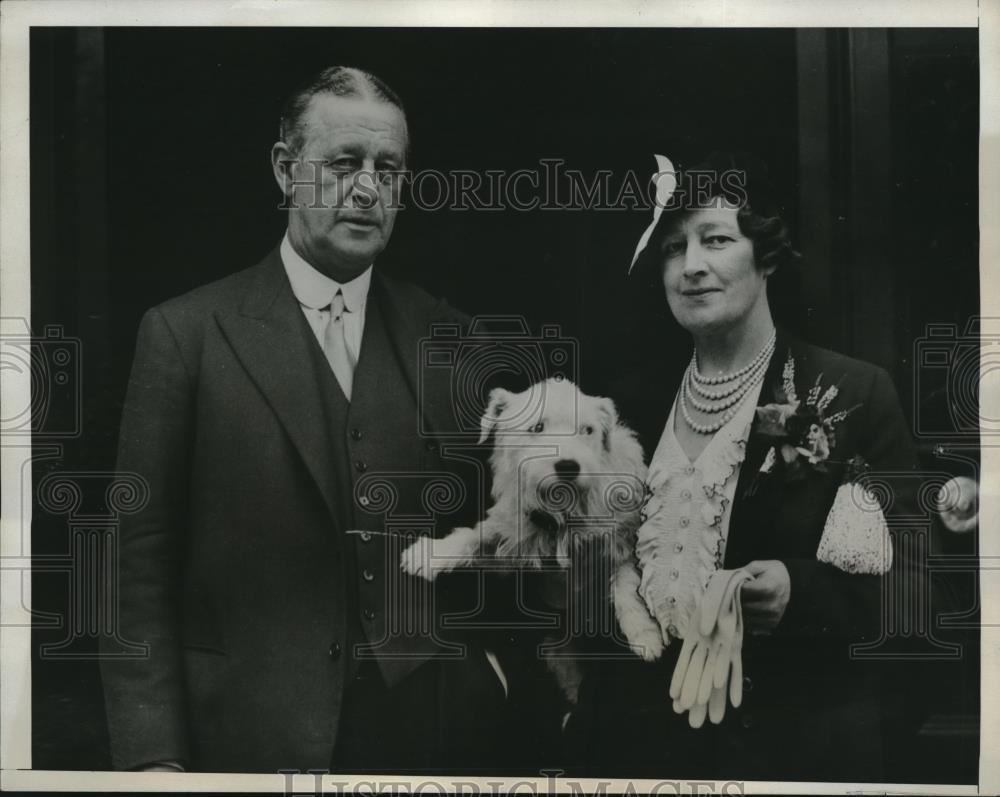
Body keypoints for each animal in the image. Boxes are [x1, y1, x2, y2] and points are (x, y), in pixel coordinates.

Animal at [398, 376, 664, 700]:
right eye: (537, 428)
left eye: (587, 430)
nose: (568, 466)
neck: (562, 510)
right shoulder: (511, 535)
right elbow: (472, 537)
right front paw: (429, 554)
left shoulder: (622, 539)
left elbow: (626, 584)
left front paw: (644, 632)